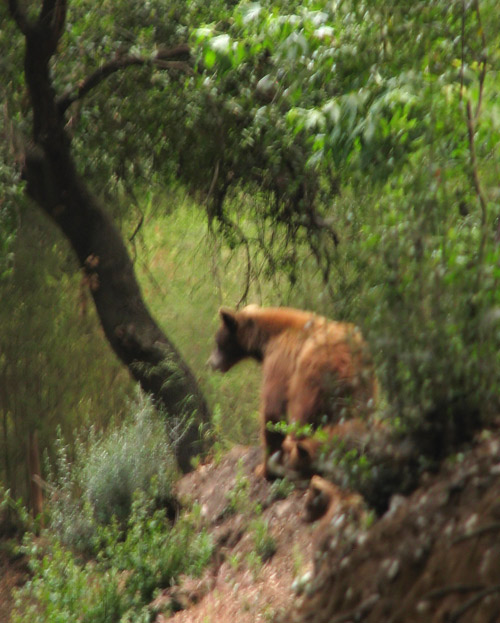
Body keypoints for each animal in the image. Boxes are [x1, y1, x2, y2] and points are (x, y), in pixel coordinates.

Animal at [209, 306, 376, 478]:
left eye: (217, 342)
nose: (211, 363)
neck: (267, 338)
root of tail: (347, 363)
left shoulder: (280, 359)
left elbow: (273, 409)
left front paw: (264, 469)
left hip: (311, 378)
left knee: (302, 418)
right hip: (362, 387)